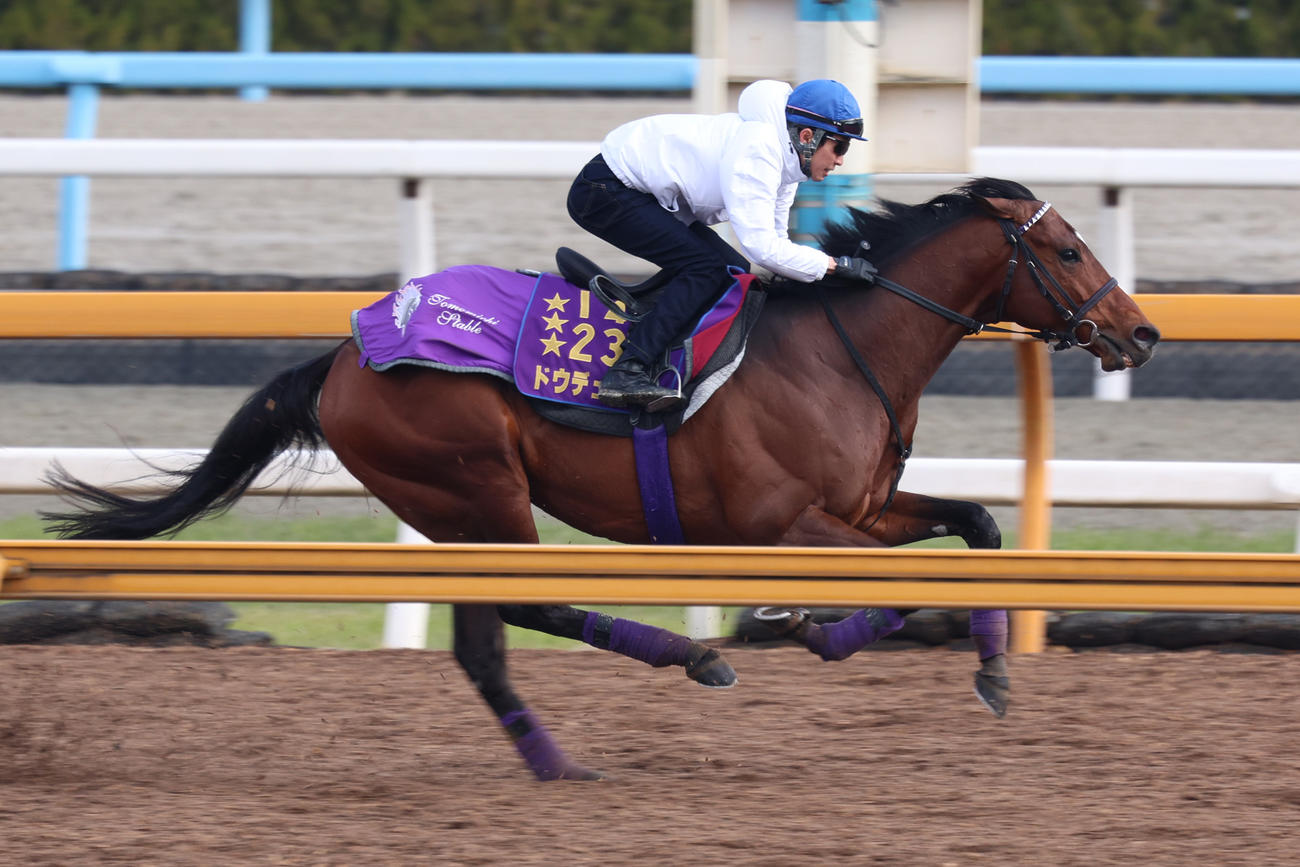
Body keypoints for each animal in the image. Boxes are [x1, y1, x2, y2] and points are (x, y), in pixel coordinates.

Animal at [43, 178, 1160, 781]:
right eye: (1066, 249)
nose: (1141, 334)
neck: (840, 347)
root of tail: (350, 351)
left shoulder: (866, 508)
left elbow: (975, 526)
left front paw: (988, 672)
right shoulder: (780, 521)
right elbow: (886, 582)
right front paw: (802, 628)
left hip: (456, 515)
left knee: (486, 645)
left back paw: (556, 757)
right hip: (477, 490)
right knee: (530, 605)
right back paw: (688, 660)